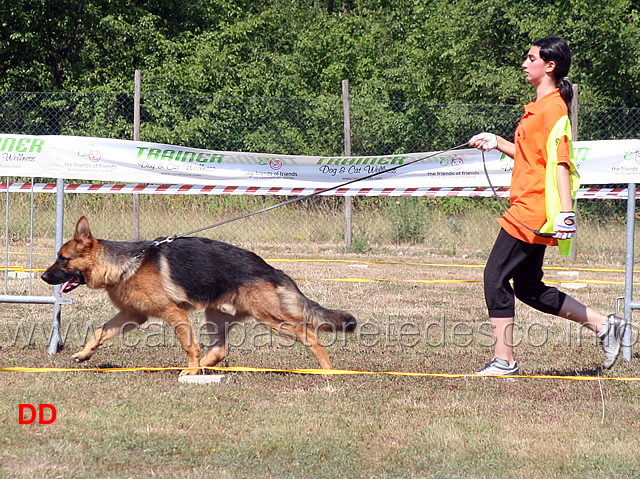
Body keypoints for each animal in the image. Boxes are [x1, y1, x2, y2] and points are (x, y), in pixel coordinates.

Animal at [42, 216, 358, 376]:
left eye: (62, 259)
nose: (43, 277)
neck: (125, 263)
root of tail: (272, 269)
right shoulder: (133, 315)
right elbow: (100, 331)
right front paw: (84, 354)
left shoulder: (173, 312)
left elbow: (188, 344)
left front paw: (191, 368)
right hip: (216, 315)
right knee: (219, 351)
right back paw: (199, 369)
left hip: (271, 319)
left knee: (311, 336)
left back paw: (328, 371)